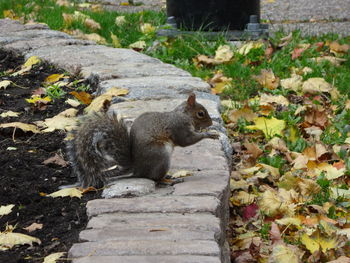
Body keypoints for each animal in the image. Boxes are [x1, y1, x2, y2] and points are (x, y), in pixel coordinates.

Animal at [66, 94, 219, 189]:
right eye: (201, 113)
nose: (211, 123)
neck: (183, 115)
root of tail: (137, 169)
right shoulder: (178, 127)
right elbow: (186, 140)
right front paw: (209, 134)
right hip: (161, 156)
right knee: (155, 178)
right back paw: (170, 180)